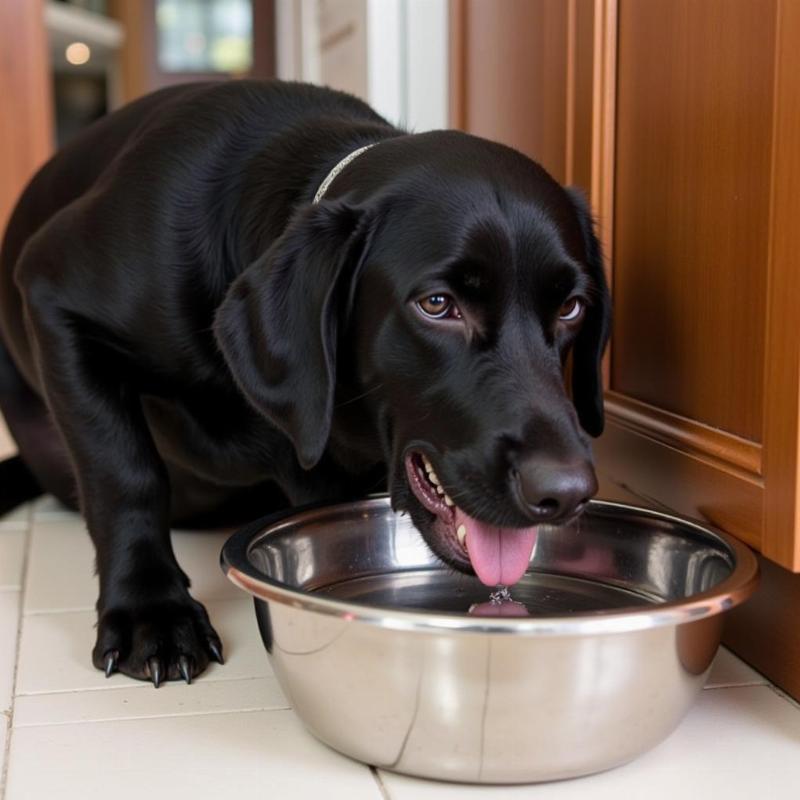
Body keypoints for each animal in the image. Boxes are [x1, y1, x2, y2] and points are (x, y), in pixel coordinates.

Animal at [0, 79, 608, 680]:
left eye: (571, 308)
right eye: (438, 305)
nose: (565, 493)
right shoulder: (52, 297)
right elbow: (125, 474)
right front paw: (151, 612)